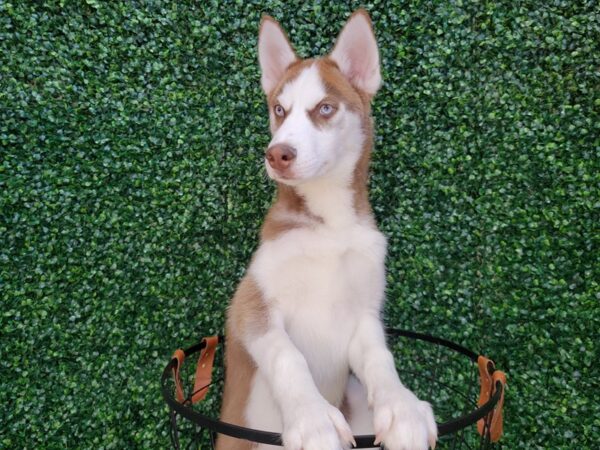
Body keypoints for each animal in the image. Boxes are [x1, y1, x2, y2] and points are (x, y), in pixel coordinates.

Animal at [218, 9, 438, 450]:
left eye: (324, 108)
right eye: (279, 109)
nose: (277, 154)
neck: (330, 226)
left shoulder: (364, 314)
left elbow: (380, 357)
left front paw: (403, 405)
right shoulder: (250, 305)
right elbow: (289, 356)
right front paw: (313, 419)